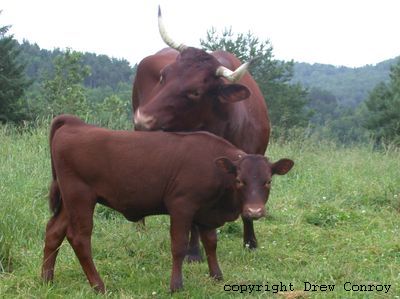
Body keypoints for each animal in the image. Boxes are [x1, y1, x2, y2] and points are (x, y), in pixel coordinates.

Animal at [41, 115, 294, 292]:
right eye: (240, 180)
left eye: (268, 181)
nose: (254, 211)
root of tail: (74, 123)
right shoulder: (181, 206)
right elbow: (179, 246)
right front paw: (176, 285)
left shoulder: (207, 213)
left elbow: (211, 243)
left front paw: (216, 276)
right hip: (80, 197)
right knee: (79, 238)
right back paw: (98, 286)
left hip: (69, 202)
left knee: (54, 231)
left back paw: (46, 279)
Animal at [133, 7, 270, 260]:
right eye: (163, 75)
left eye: (195, 92)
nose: (142, 119)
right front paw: (194, 252)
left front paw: (250, 242)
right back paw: (140, 226)